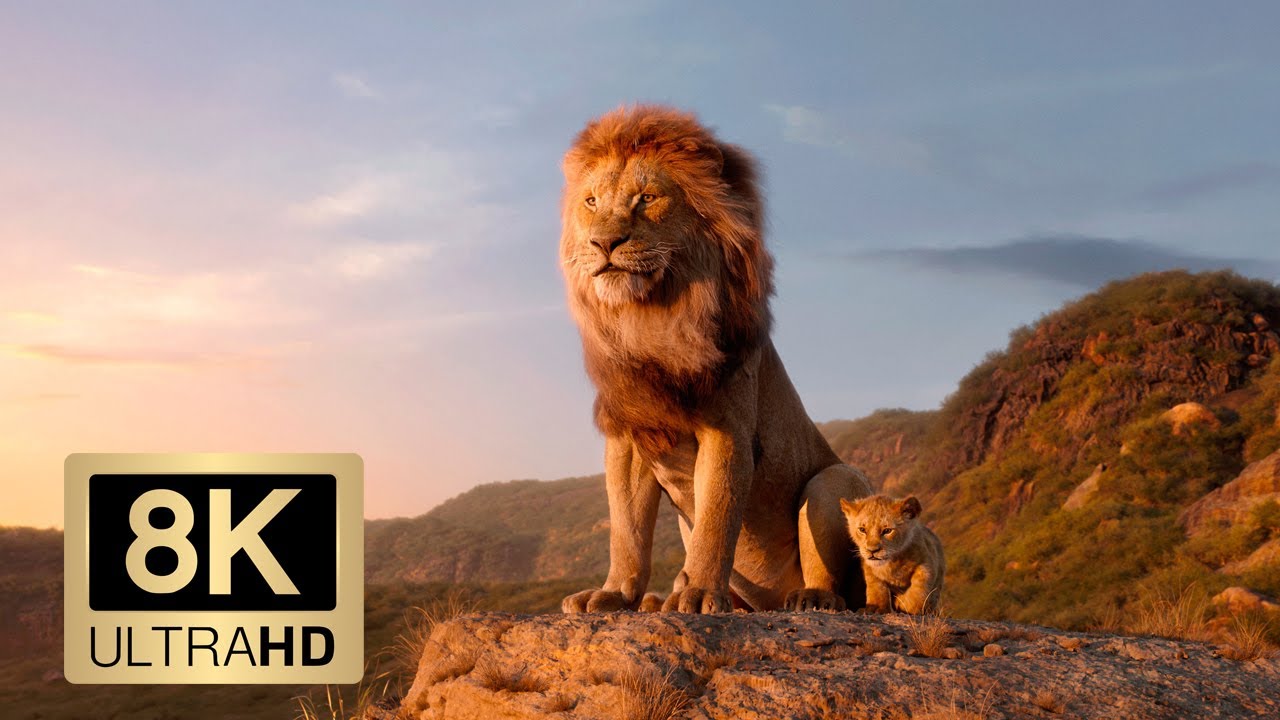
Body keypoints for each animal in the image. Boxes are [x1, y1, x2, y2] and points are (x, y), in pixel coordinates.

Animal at [557, 105, 872, 614]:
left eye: (647, 198)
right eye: (591, 202)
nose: (603, 243)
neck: (651, 319)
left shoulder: (727, 429)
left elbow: (716, 518)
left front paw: (701, 593)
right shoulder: (629, 435)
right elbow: (626, 529)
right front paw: (614, 593)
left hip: (834, 480)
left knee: (837, 582)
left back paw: (810, 598)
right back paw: (657, 600)